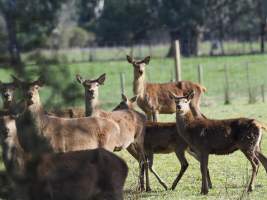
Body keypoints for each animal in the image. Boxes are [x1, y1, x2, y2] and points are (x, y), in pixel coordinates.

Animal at [0, 114, 129, 200]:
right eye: (0, 121)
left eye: (13, 120)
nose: (6, 130)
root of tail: (125, 166)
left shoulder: (44, 191)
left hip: (114, 188)